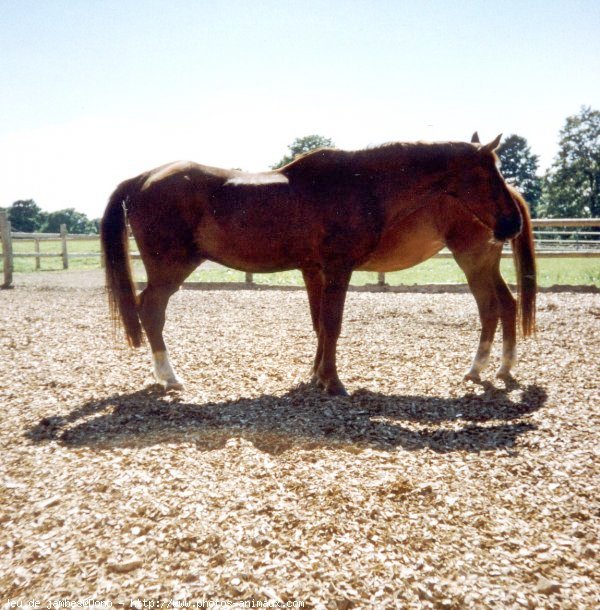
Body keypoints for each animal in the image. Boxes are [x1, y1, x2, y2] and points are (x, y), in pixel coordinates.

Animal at [101, 133, 536, 394]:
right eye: (490, 175)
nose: (511, 222)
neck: (360, 186)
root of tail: (141, 179)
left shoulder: (318, 270)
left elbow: (321, 325)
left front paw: (317, 377)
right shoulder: (338, 268)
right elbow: (332, 324)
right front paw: (333, 381)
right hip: (169, 269)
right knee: (150, 310)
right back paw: (169, 377)